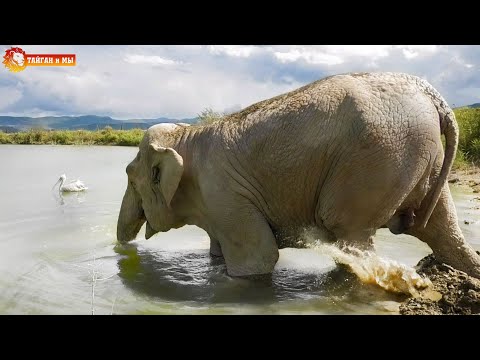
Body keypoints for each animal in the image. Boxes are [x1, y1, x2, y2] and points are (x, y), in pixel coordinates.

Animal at [116, 71, 480, 278]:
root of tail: (435, 99)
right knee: (443, 230)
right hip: (419, 160)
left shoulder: (225, 194)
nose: (122, 251)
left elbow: (258, 258)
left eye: (131, 178)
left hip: (377, 161)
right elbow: (219, 251)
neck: (186, 136)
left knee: (349, 232)